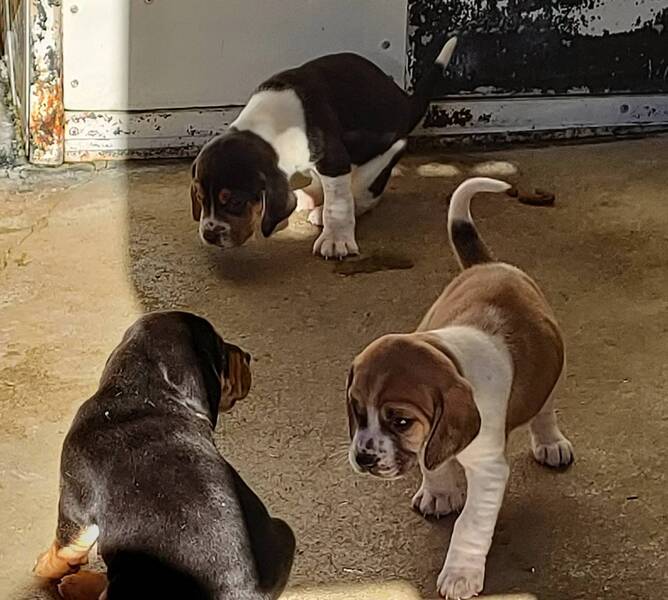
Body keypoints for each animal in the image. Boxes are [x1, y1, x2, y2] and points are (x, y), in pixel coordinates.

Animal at [33, 311, 295, 600]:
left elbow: (65, 546)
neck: (143, 395)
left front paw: (44, 568)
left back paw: (76, 584)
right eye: (223, 353)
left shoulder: (74, 502)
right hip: (284, 532)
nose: (247, 356)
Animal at [190, 37, 458, 259]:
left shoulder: (333, 159)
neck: (268, 126)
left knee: (363, 194)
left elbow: (338, 201)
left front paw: (336, 239)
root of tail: (406, 102)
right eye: (200, 197)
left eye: (235, 201)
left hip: (384, 153)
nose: (209, 234)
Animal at [346, 178, 574, 599]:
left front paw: (460, 574)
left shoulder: (488, 469)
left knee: (544, 409)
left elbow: (470, 523)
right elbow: (430, 460)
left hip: (553, 373)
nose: (364, 459)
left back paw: (551, 443)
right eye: (356, 410)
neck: (451, 355)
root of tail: (489, 264)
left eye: (400, 422)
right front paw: (439, 492)